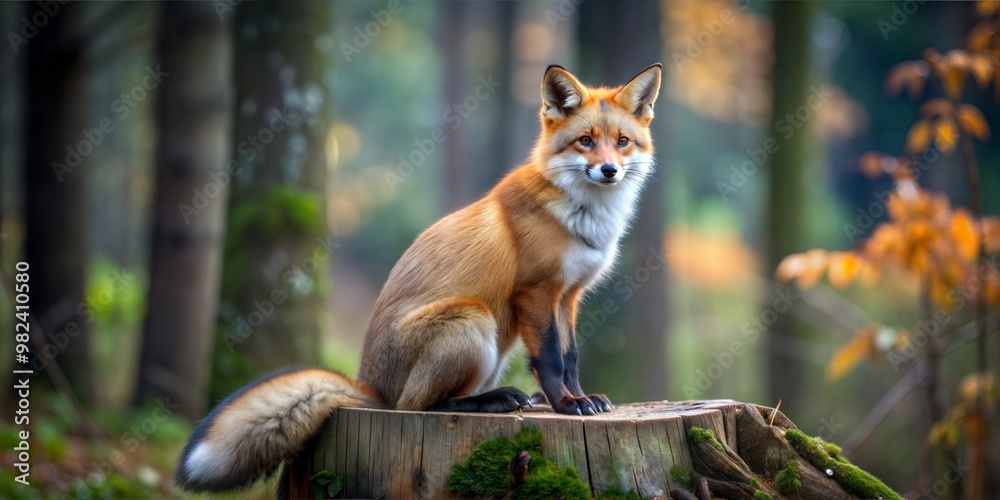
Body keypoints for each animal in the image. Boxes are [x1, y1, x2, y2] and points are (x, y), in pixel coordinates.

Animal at [175, 63, 662, 495]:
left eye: (622, 142)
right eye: (585, 141)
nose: (609, 171)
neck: (582, 219)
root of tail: (371, 388)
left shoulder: (569, 296)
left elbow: (572, 355)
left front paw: (582, 400)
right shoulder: (535, 292)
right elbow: (550, 359)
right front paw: (565, 405)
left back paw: (522, 399)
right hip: (473, 320)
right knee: (419, 407)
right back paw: (495, 400)